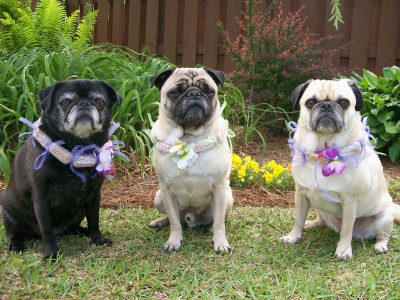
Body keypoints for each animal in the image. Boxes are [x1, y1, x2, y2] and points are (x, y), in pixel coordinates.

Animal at [0, 79, 122, 260]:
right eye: (65, 102)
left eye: (100, 102)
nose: (84, 103)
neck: (77, 148)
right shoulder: (41, 200)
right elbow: (46, 230)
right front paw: (51, 254)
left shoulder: (94, 196)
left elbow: (94, 220)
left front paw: (98, 239)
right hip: (9, 213)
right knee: (14, 232)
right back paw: (16, 244)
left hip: (79, 211)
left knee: (75, 227)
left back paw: (83, 232)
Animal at [148, 67, 233, 253]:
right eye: (174, 92)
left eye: (209, 91)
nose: (194, 94)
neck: (189, 138)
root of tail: (191, 219)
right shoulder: (166, 190)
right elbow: (174, 223)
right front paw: (174, 241)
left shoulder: (219, 188)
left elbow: (219, 223)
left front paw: (221, 243)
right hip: (159, 198)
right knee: (174, 219)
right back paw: (160, 221)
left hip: (228, 197)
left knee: (220, 219)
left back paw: (211, 228)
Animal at [282, 79, 400, 260]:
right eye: (310, 102)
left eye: (344, 102)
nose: (326, 105)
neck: (322, 155)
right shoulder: (301, 193)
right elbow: (298, 219)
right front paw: (294, 236)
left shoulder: (350, 202)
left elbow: (346, 230)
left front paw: (344, 250)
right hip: (319, 207)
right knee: (322, 220)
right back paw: (311, 224)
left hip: (384, 217)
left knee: (382, 235)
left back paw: (380, 245)